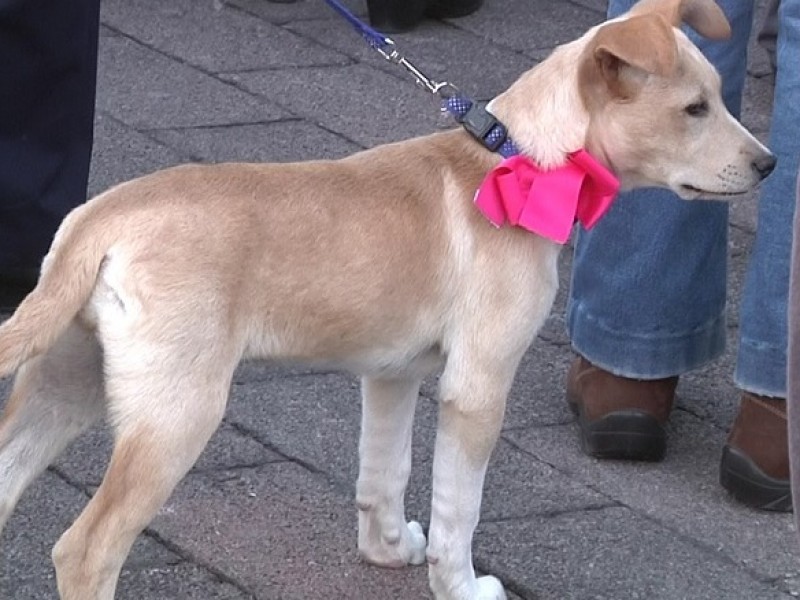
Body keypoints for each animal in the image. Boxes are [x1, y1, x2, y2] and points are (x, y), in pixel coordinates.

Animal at [0, 1, 776, 600]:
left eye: (719, 97)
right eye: (694, 109)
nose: (768, 164)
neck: (514, 159)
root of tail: (99, 219)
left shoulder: (392, 374)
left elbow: (384, 471)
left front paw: (390, 548)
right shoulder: (477, 388)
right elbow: (460, 509)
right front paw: (461, 585)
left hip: (66, 381)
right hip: (174, 412)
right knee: (88, 548)